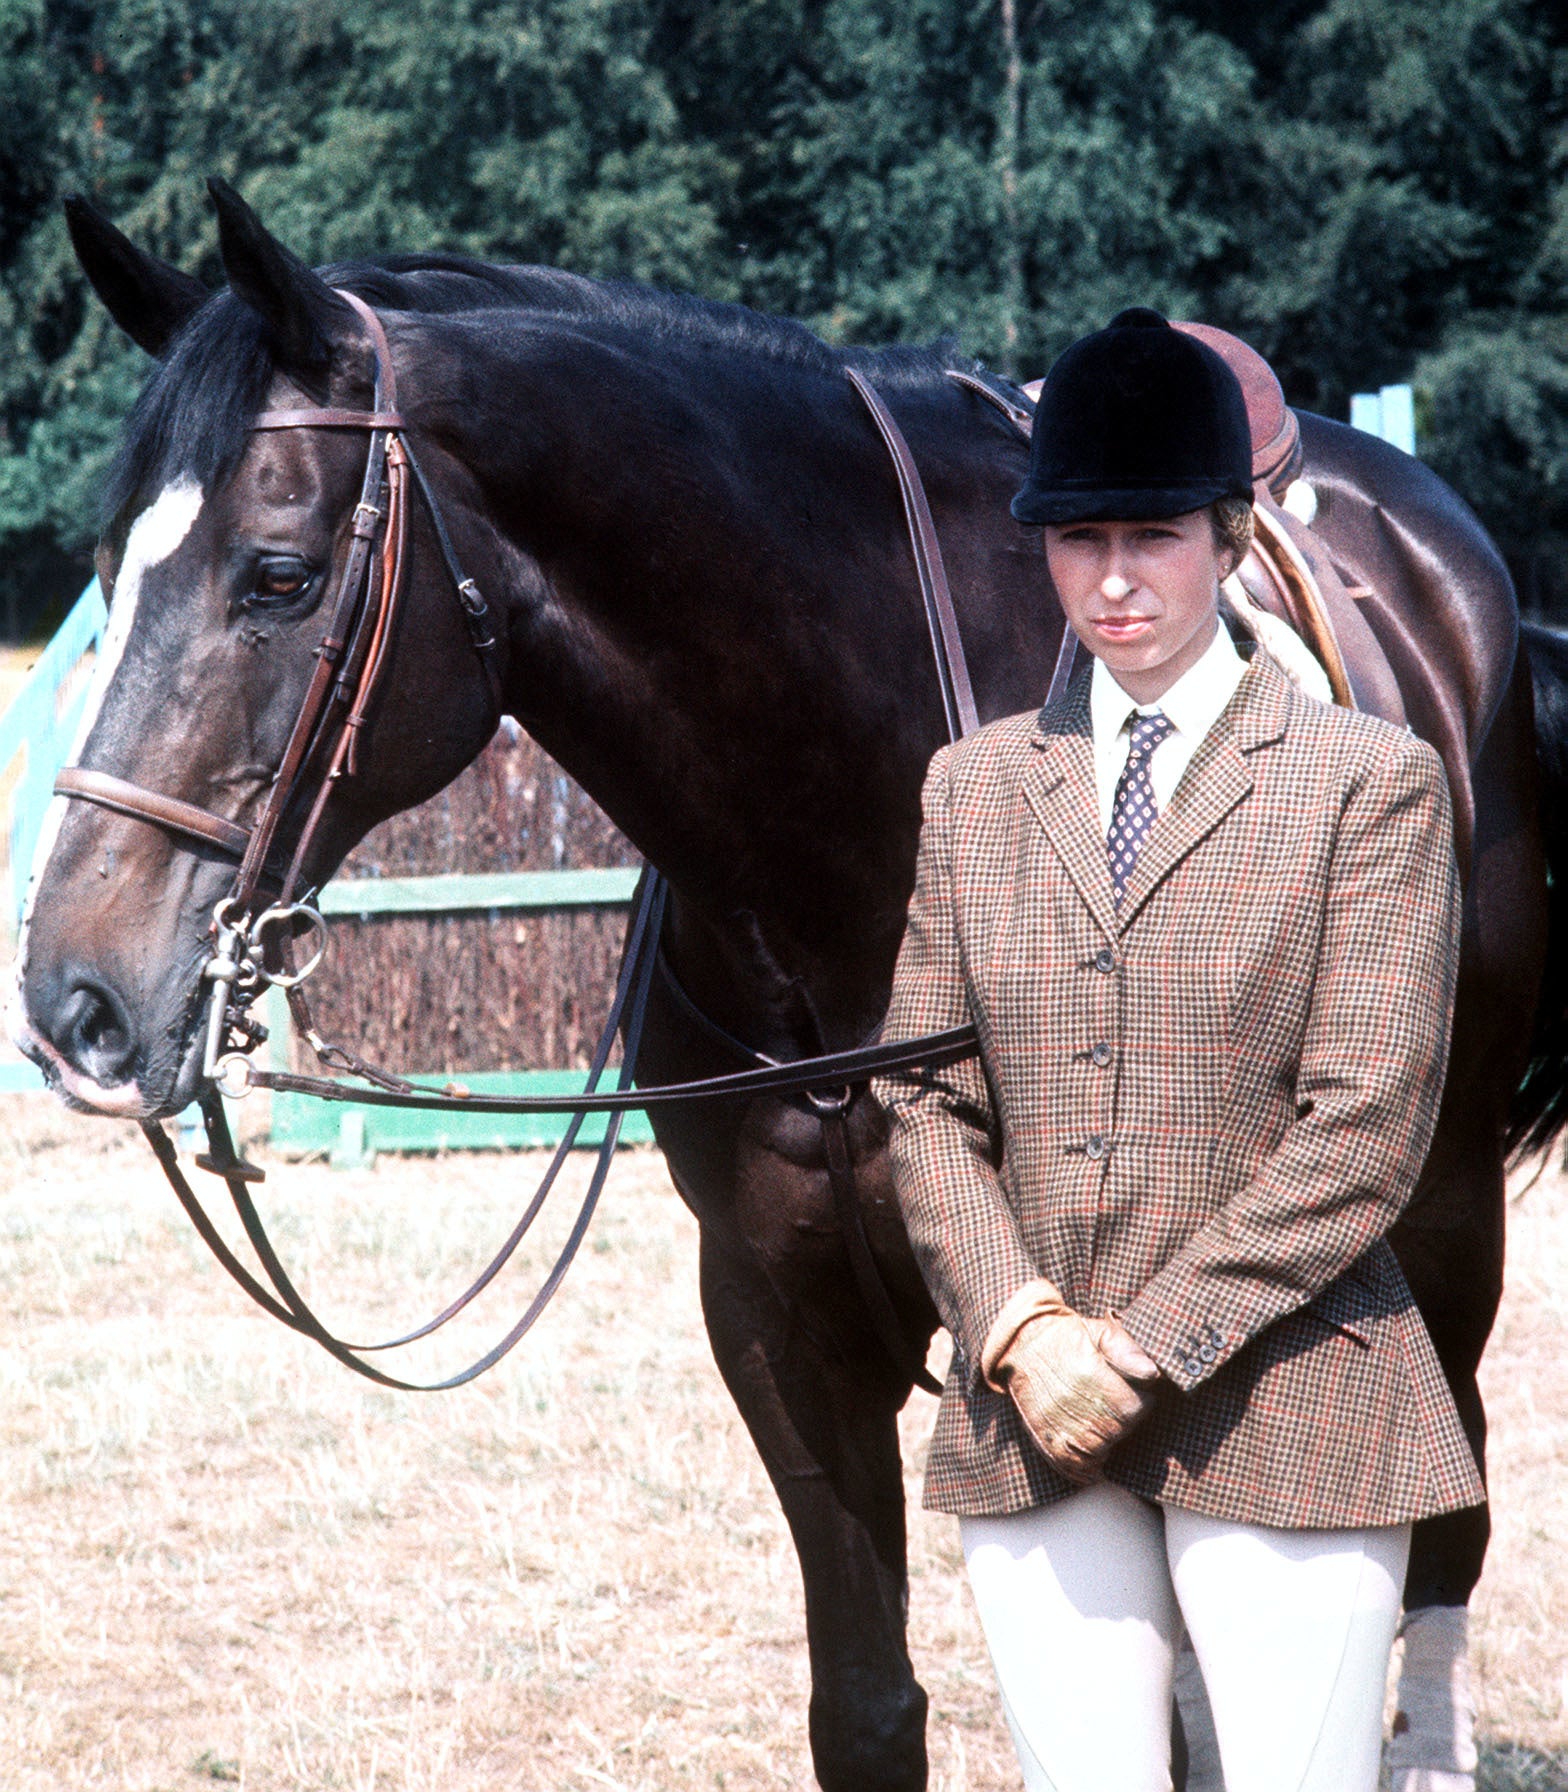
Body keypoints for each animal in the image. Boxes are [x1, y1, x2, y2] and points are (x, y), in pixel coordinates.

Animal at [12, 185, 1568, 1792]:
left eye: (280, 576)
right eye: (109, 576)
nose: (79, 1001)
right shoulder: (779, 1314)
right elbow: (871, 1710)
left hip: (1437, 1220)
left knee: (1440, 1522)